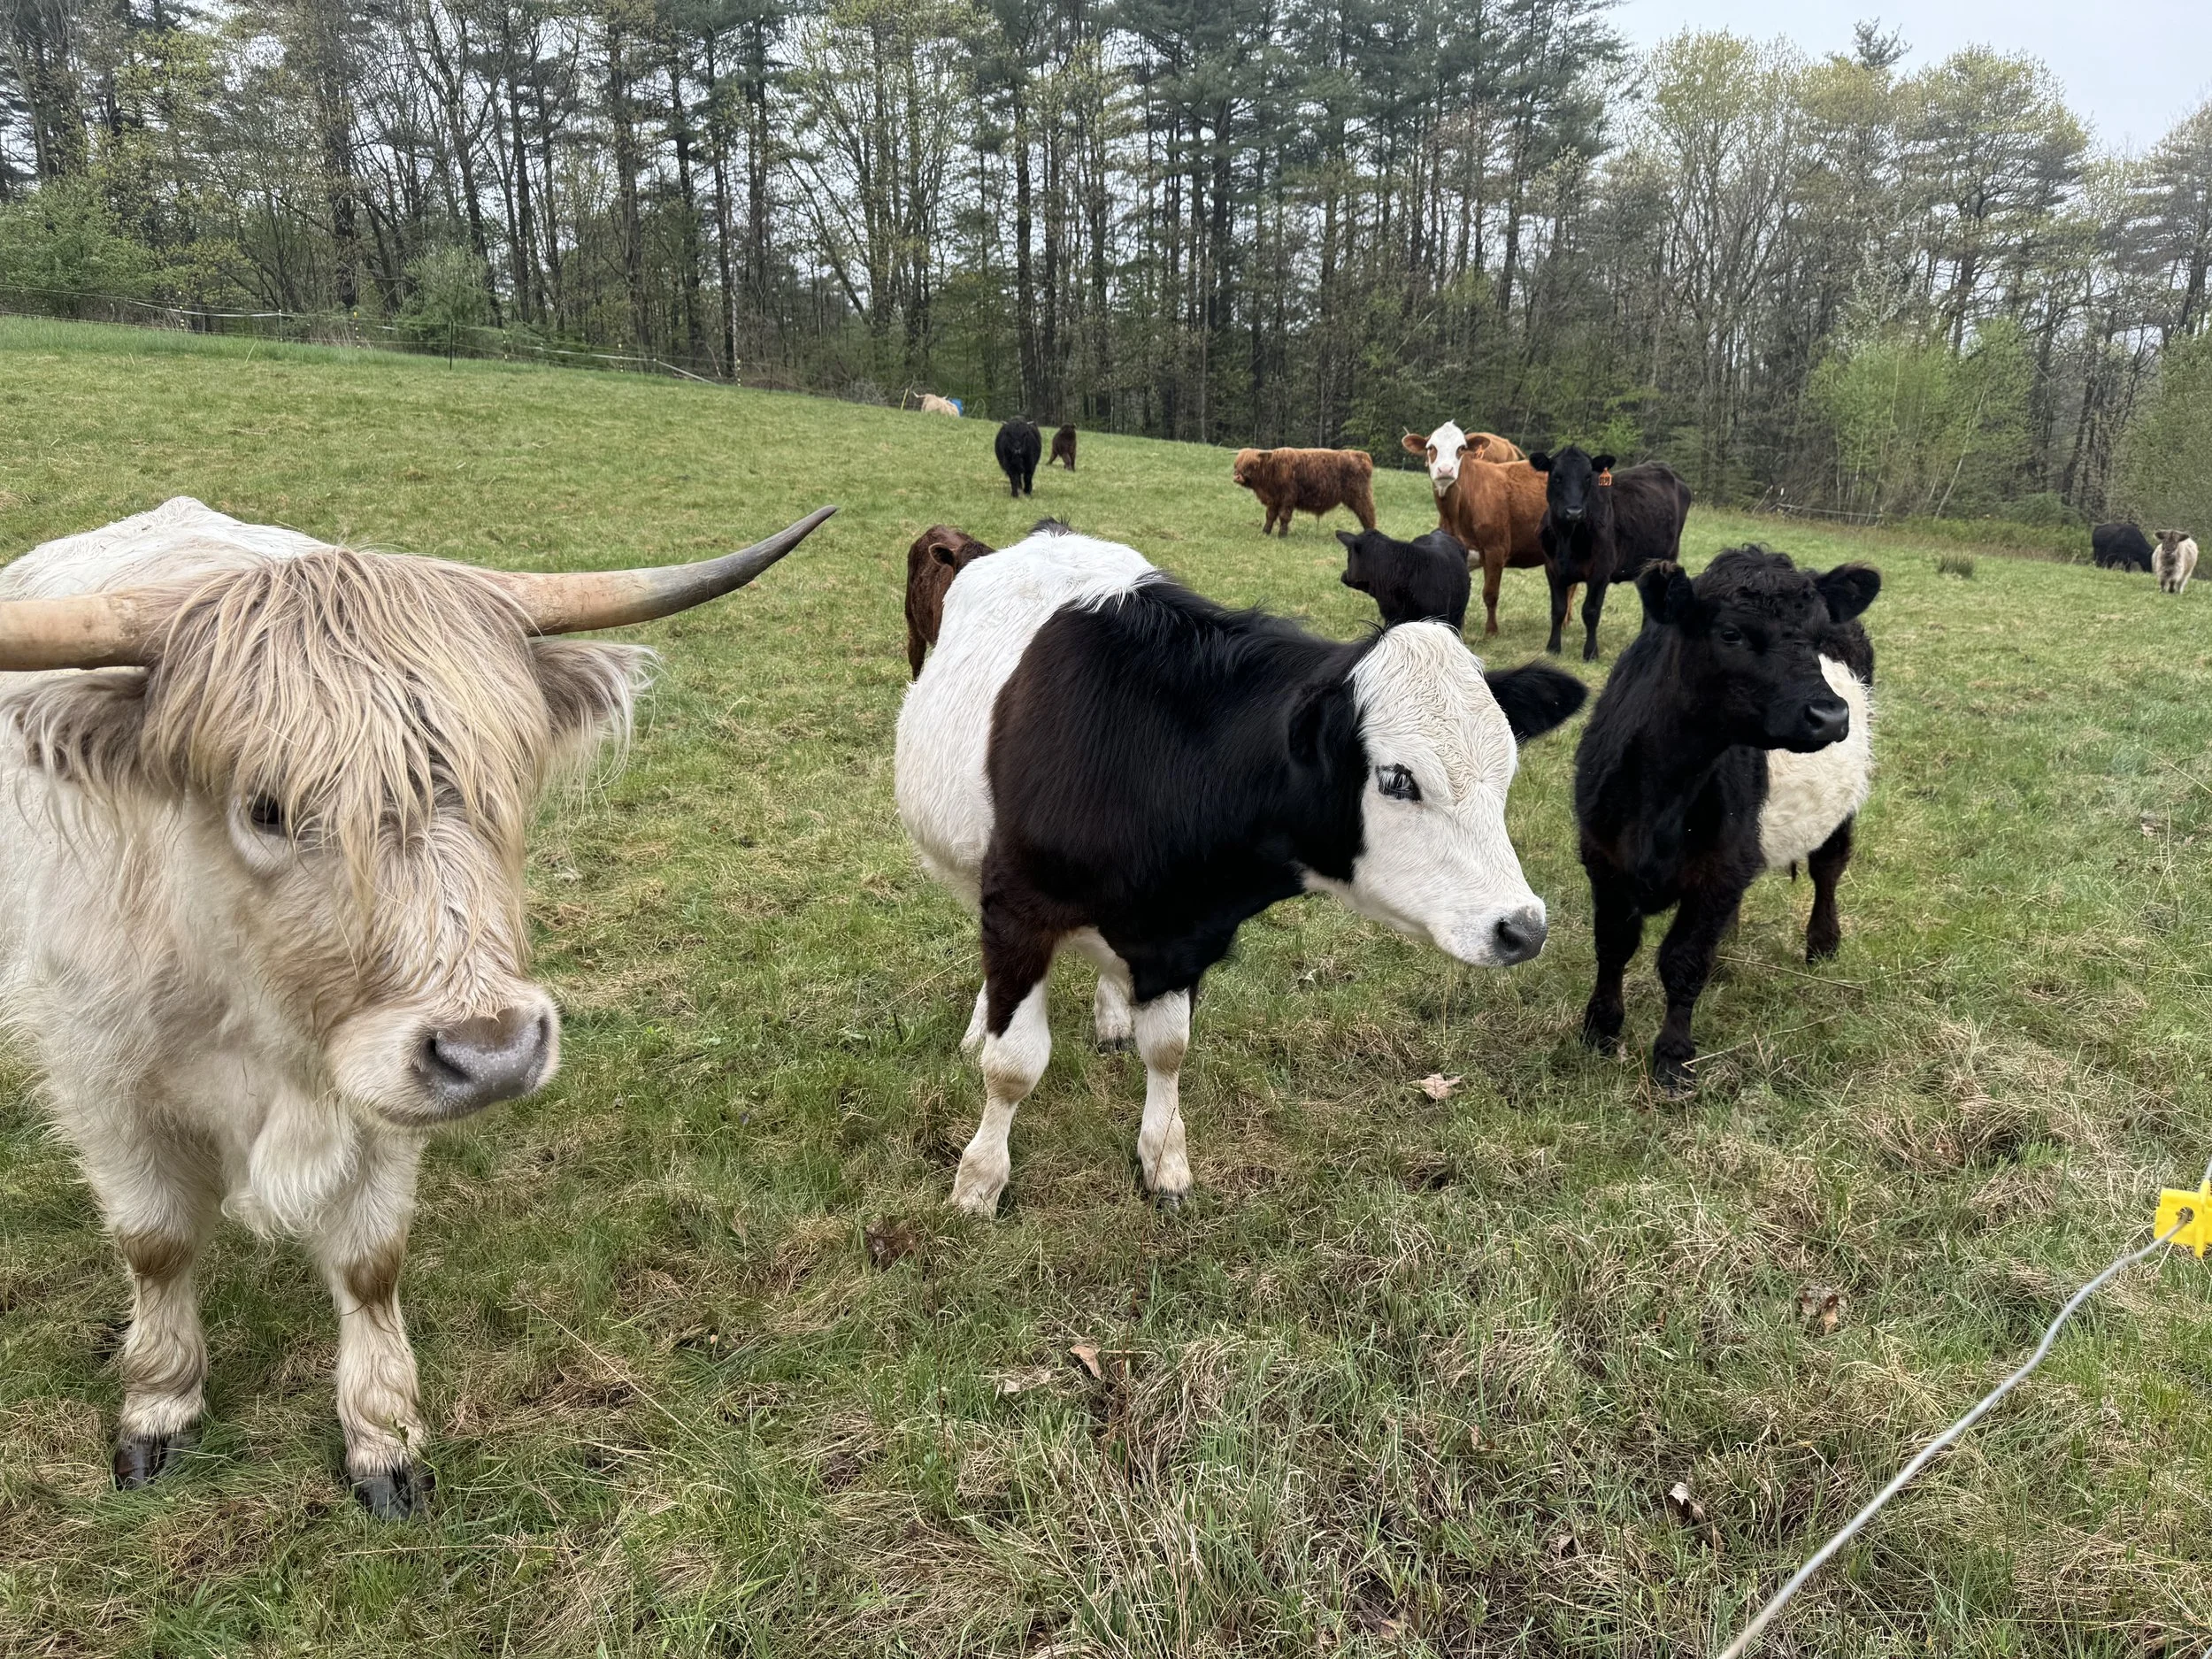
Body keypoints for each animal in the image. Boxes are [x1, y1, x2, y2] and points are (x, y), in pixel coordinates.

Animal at [0, 495, 832, 1516]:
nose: (495, 1050)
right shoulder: (103, 1082)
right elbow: (154, 1244)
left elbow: (370, 1261)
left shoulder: (381, 1089)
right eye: (266, 806)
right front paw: (158, 1406)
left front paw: (383, 1435)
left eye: (508, 779)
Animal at [1231, 447, 1379, 537]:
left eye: (1251, 464)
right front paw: (1265, 531)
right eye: (1236, 464)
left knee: (1368, 514)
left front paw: (1282, 535)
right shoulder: (1274, 499)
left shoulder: (1288, 498)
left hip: (1361, 496)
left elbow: (1284, 516)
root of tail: (1363, 455)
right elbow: (1270, 516)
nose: (1237, 476)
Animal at [1403, 424, 1548, 637]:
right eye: (1431, 448)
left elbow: (1490, 594)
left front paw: (1491, 631)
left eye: (1461, 448)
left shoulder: (1495, 549)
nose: (1445, 469)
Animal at [1529, 446, 1693, 661]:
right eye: (1557, 477)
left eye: (1588, 477)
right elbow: (1558, 610)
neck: (1568, 538)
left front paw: (1590, 652)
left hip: (1667, 557)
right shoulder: (1553, 569)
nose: (1574, 512)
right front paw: (1553, 647)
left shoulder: (1601, 571)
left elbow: (1590, 612)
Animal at [1574, 547, 1880, 1094]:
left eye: (1817, 636)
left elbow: (1683, 961)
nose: (1830, 715)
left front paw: (1674, 1058)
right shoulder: (1602, 856)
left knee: (1829, 867)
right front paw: (1601, 1030)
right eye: (1731, 633)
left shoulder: (1719, 868)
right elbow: (1613, 944)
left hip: (1845, 802)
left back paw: (1822, 942)